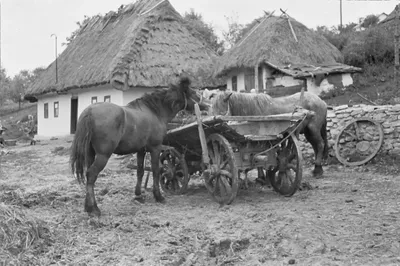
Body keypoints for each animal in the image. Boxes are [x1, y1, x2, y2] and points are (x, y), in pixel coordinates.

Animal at [70, 76, 205, 216]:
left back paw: (88, 207)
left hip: (90, 154)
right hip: (103, 155)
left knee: (88, 177)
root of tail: (90, 111)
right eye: (193, 92)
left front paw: (138, 195)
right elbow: (156, 170)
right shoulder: (155, 148)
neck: (154, 112)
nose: (205, 105)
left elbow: (140, 171)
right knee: (91, 175)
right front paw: (158, 196)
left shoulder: (141, 150)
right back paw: (94, 208)